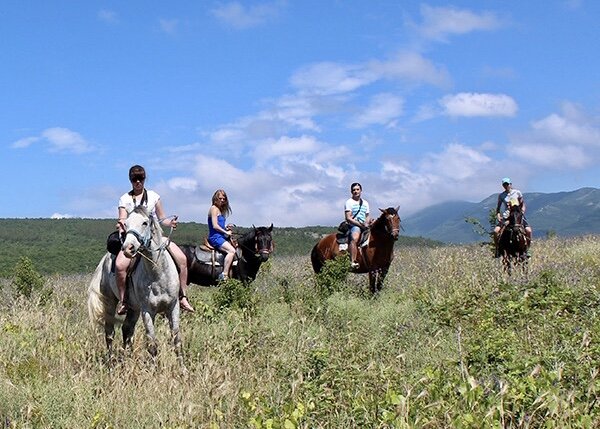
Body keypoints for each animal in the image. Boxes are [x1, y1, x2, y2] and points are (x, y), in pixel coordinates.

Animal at [88, 206, 183, 364]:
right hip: (111, 303)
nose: (128, 248)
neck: (158, 273)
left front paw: (183, 368)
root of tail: (104, 260)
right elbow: (152, 344)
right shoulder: (147, 311)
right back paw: (111, 362)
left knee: (127, 329)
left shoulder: (173, 307)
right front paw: (154, 368)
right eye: (125, 224)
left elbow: (177, 341)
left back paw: (127, 358)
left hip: (134, 308)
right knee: (110, 332)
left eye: (145, 223)